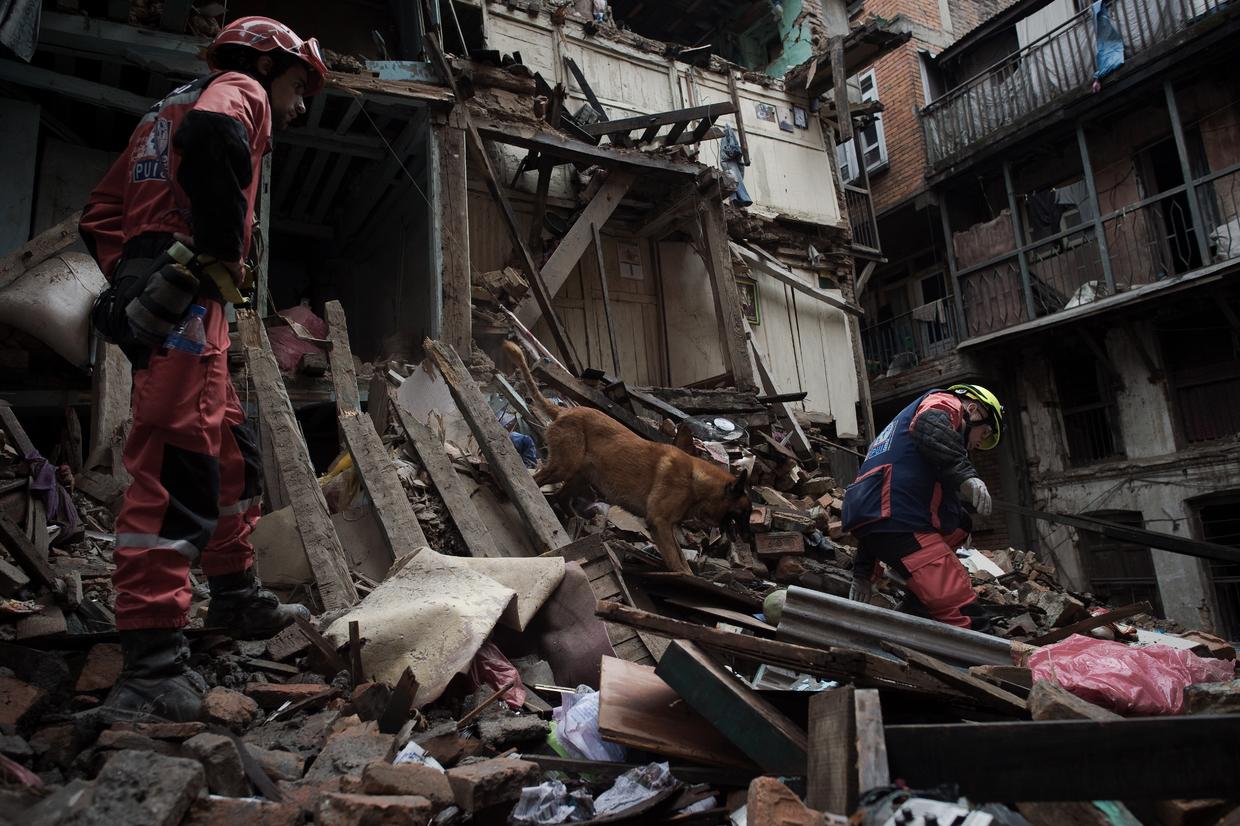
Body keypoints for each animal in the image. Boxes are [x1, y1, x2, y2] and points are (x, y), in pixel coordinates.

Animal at [500, 337, 748, 570]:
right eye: (742, 513)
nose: (747, 536)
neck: (697, 482)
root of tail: (562, 411)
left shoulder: (666, 526)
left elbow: (680, 559)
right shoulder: (660, 523)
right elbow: (677, 563)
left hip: (581, 476)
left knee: (561, 496)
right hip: (564, 467)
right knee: (536, 481)